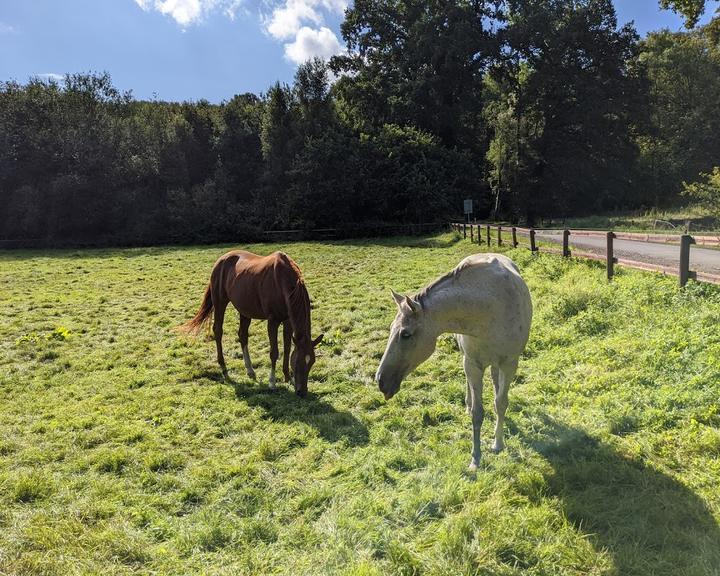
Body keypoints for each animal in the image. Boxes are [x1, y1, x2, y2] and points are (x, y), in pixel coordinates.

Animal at [183, 250, 324, 398]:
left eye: (312, 362)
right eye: (297, 362)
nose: (302, 392)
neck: (282, 281)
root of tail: (221, 259)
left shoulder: (287, 320)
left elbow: (287, 348)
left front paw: (287, 377)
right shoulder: (273, 321)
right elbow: (274, 352)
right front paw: (272, 382)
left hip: (244, 310)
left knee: (242, 335)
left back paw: (250, 370)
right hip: (220, 302)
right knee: (218, 331)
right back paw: (224, 367)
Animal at [374, 254, 532, 470]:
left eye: (405, 334)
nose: (380, 381)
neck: (492, 307)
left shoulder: (510, 363)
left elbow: (500, 403)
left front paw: (498, 443)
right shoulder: (473, 364)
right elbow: (477, 412)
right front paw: (475, 458)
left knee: (495, 382)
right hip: (468, 360)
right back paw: (467, 403)